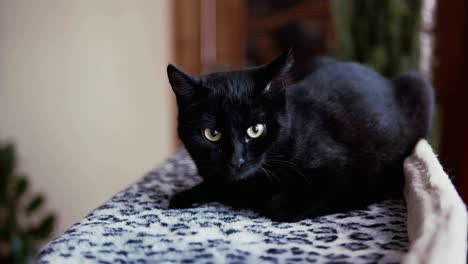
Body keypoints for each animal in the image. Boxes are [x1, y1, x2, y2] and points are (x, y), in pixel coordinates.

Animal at [165, 51, 436, 221]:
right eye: (212, 134)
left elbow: (277, 206)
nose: (237, 160)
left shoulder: (344, 173)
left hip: (419, 85)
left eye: (256, 129)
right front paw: (187, 195)